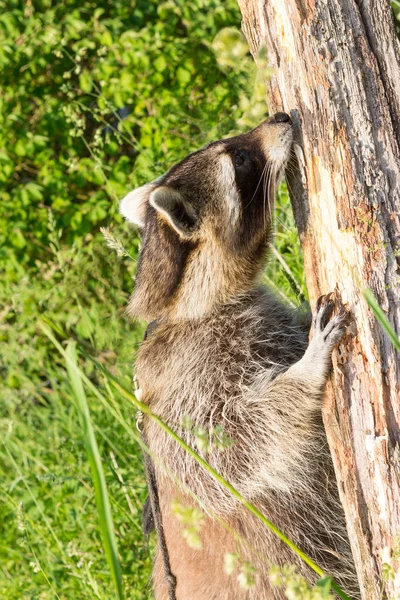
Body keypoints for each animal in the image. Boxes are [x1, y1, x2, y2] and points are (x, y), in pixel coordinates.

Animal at [119, 113, 360, 600]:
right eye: (241, 158)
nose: (280, 117)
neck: (183, 305)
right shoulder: (193, 375)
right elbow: (231, 444)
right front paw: (307, 369)